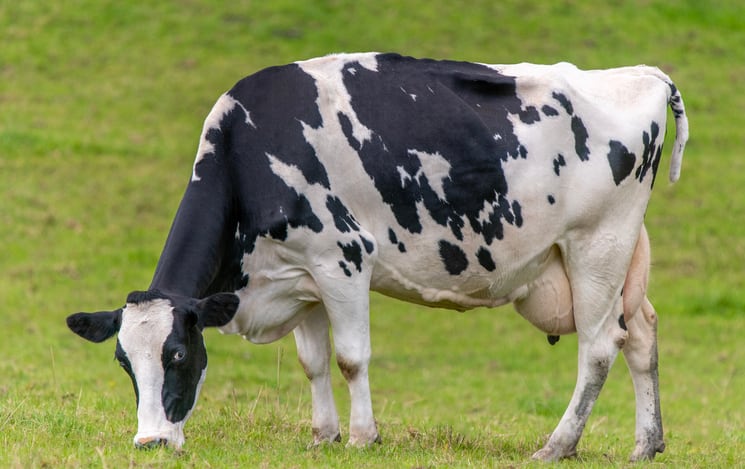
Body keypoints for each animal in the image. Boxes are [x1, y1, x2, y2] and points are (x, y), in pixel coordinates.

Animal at [66, 52, 688, 462]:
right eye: (124, 363)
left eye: (176, 355)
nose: (150, 441)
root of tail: (641, 73)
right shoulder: (301, 273)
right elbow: (313, 362)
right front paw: (323, 435)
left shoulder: (342, 258)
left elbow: (350, 358)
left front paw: (365, 437)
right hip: (624, 256)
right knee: (642, 333)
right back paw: (645, 444)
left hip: (597, 244)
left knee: (600, 347)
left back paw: (557, 445)